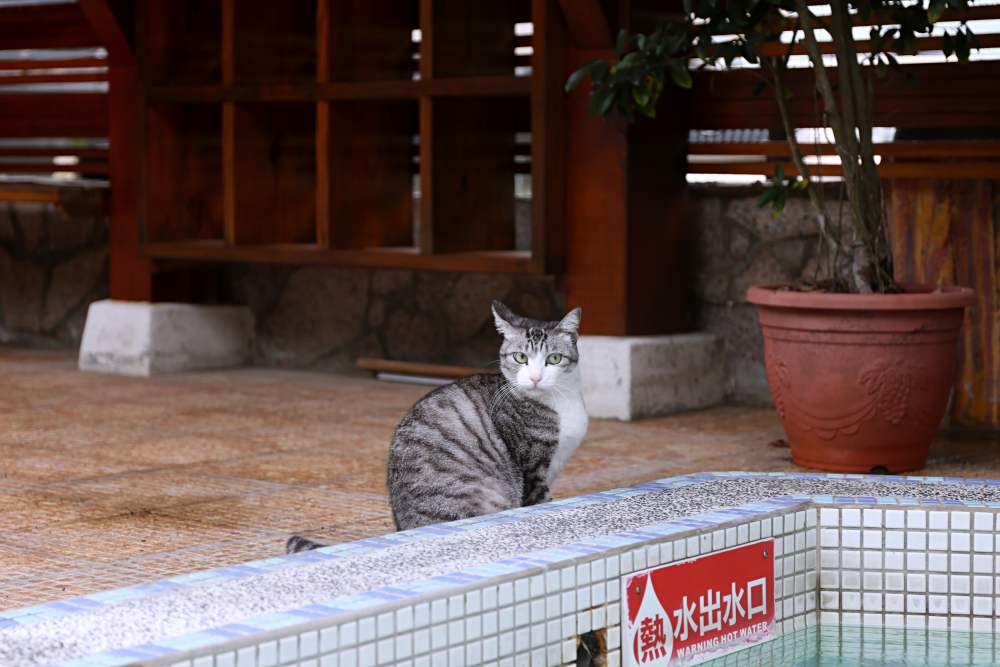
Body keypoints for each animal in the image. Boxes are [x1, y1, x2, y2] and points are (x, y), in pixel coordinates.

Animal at [286, 302, 584, 552]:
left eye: (554, 359)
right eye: (521, 357)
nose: (535, 378)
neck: (560, 402)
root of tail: (403, 528)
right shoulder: (533, 469)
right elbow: (540, 503)